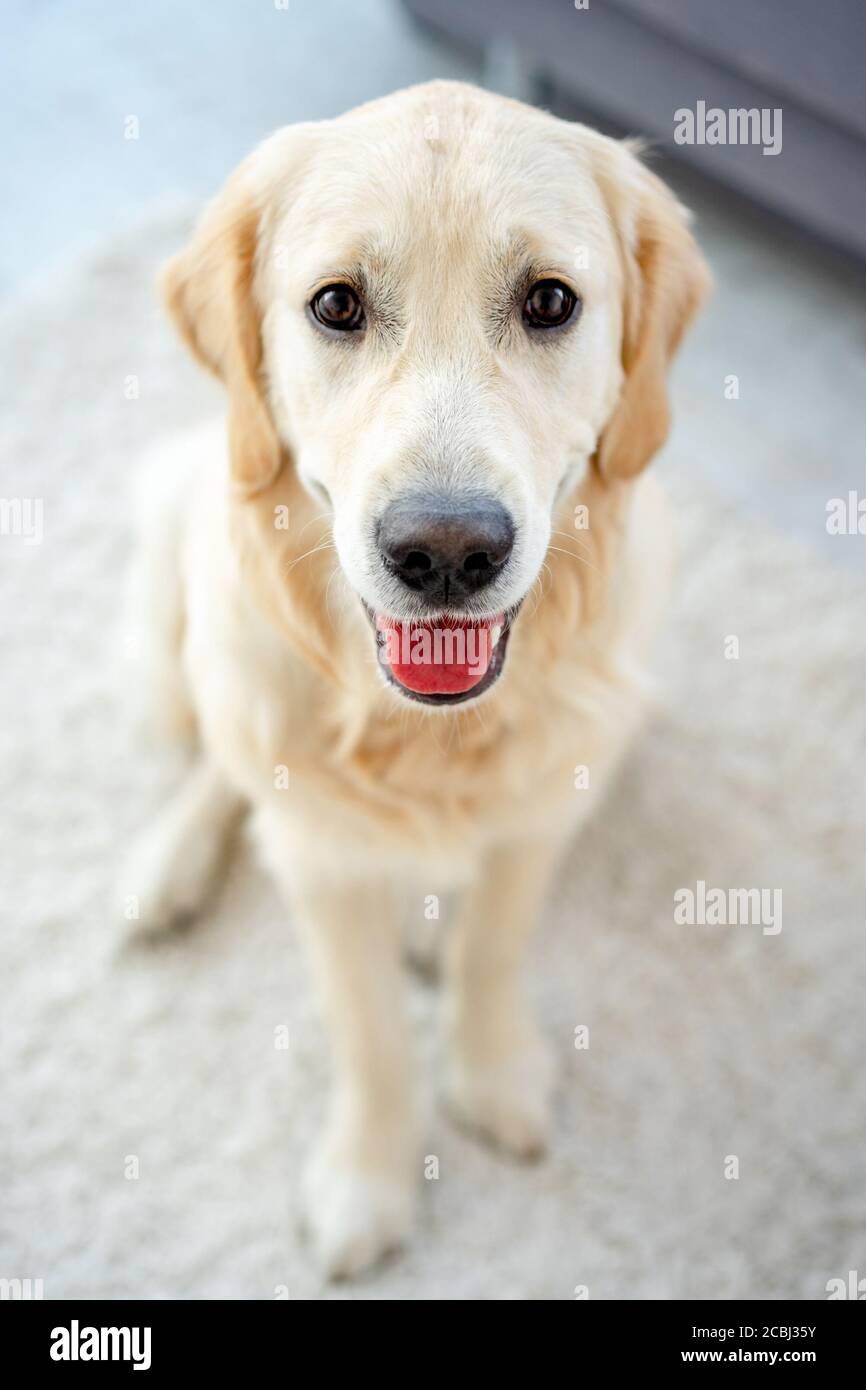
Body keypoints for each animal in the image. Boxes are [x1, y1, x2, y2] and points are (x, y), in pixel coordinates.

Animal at [118, 81, 708, 1278]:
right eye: (337, 305)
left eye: (548, 300)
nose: (443, 552)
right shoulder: (321, 860)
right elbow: (371, 1031)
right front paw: (367, 1179)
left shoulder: (543, 811)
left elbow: (491, 947)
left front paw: (490, 1074)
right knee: (219, 760)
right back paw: (169, 865)